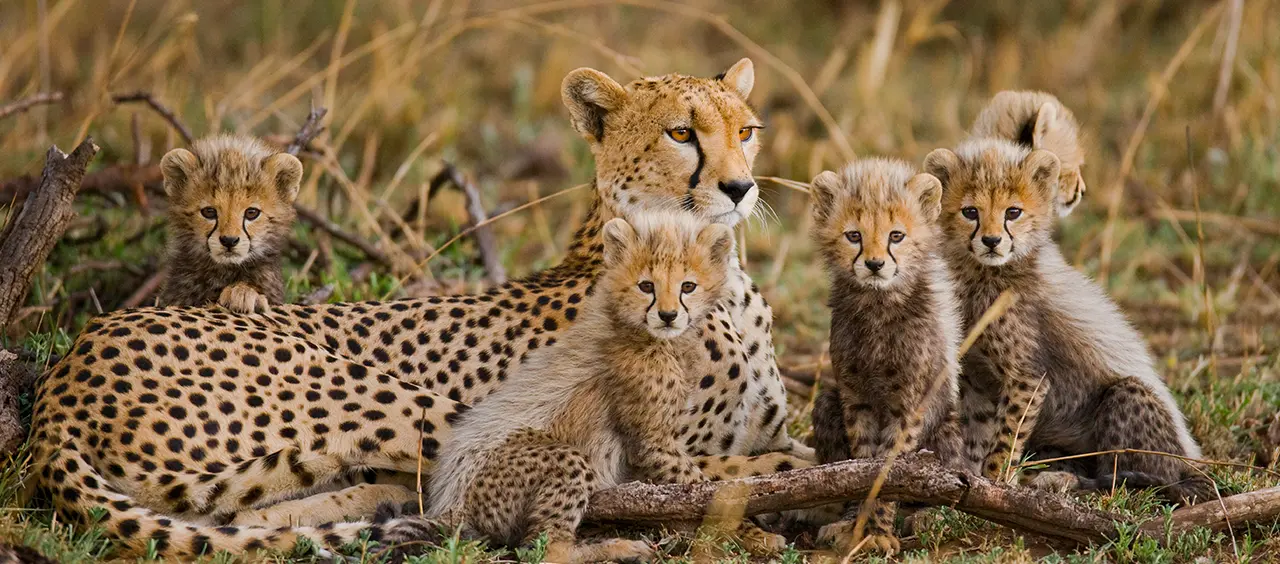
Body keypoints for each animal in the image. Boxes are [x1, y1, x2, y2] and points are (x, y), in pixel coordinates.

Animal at [27, 59, 808, 555]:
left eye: (747, 131)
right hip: (394, 399)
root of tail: (65, 373)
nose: (741, 187)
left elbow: (789, 453)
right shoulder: (666, 450)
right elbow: (754, 470)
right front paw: (767, 512)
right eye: (682, 133)